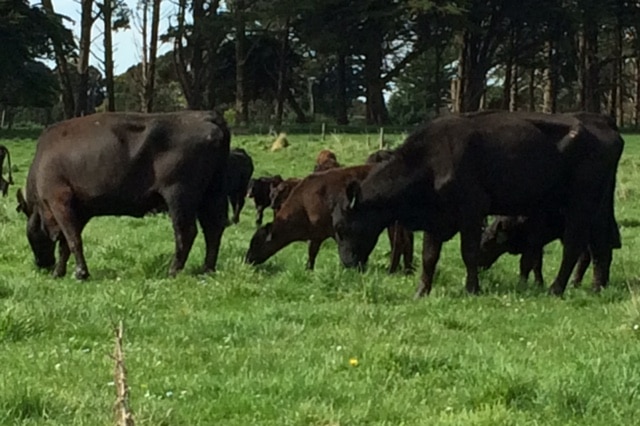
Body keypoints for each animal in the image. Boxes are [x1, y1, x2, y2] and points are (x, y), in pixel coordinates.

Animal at [15, 111, 232, 282]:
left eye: (30, 234)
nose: (42, 265)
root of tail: (206, 116)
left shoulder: (60, 202)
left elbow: (72, 240)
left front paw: (80, 273)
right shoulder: (80, 211)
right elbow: (66, 244)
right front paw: (61, 272)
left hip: (179, 196)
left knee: (185, 232)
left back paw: (172, 271)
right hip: (212, 194)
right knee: (213, 229)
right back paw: (207, 269)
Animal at [332, 111, 624, 298]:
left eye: (341, 227)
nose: (346, 263)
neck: (430, 160)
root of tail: (602, 122)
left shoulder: (472, 211)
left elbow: (468, 252)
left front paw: (472, 288)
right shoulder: (435, 219)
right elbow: (429, 256)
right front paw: (421, 291)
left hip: (580, 203)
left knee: (575, 244)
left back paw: (556, 288)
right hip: (600, 204)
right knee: (601, 244)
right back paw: (597, 287)